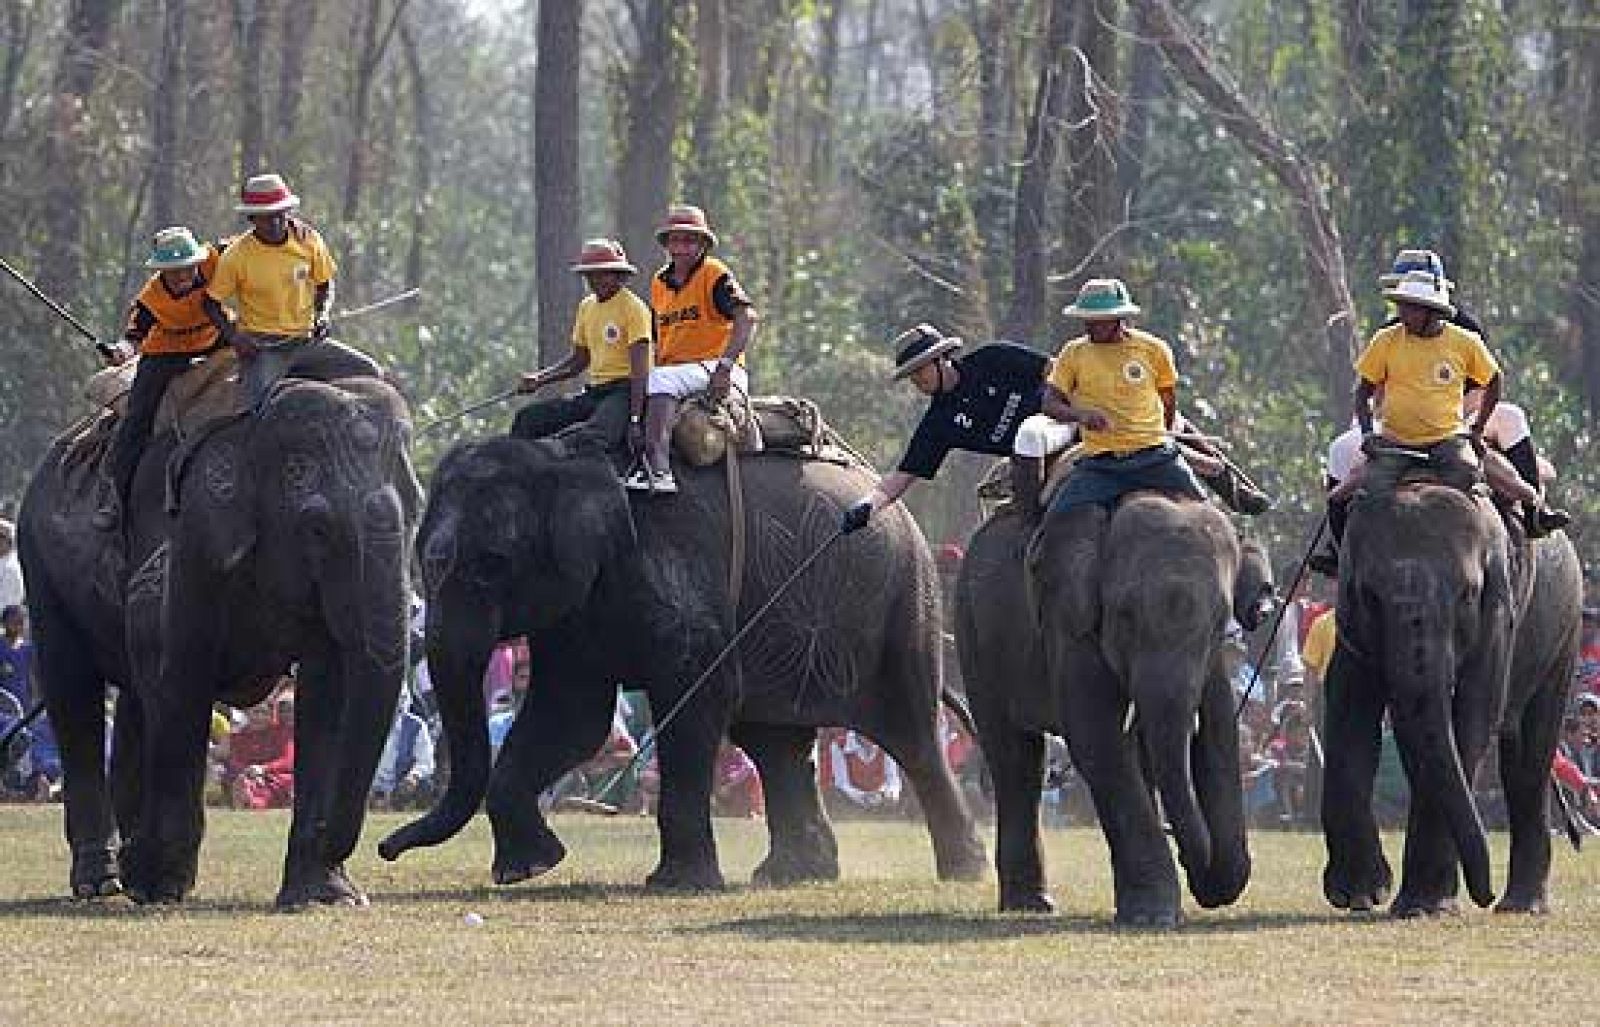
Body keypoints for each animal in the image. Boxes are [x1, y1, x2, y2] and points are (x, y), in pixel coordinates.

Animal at [18, 375, 420, 907]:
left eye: (416, 516)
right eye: (316, 528)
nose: (386, 849)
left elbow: (328, 693)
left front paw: (325, 896)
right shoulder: (189, 535)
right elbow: (180, 674)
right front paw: (160, 885)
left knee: (135, 700)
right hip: (40, 561)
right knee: (73, 688)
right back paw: (102, 881)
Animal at [378, 431, 987, 890]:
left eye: (492, 564)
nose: (384, 848)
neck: (565, 457)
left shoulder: (679, 563)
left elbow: (694, 701)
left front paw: (679, 883)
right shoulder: (576, 606)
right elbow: (571, 716)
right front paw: (526, 869)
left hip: (906, 603)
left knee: (909, 736)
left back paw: (964, 871)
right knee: (774, 743)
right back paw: (792, 875)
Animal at [958, 498, 1274, 923]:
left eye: (1219, 623)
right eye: (1125, 616)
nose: (1188, 857)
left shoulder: (1212, 661)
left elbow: (1219, 735)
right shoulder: (1069, 622)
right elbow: (1096, 739)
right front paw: (1153, 915)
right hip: (972, 631)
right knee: (1016, 758)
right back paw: (1032, 906)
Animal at [1320, 479, 1582, 917]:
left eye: (1468, 595)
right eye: (1369, 595)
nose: (1483, 894)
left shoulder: (1501, 612)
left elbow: (1474, 713)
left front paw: (1425, 907)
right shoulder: (1348, 617)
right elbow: (1349, 709)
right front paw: (1361, 895)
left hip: (1565, 631)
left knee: (1528, 757)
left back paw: (1521, 906)